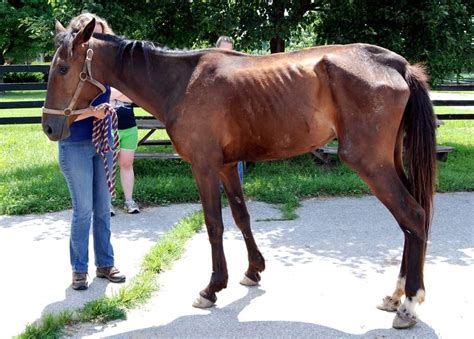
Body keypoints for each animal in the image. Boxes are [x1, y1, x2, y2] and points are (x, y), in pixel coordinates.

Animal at [42, 19, 436, 330]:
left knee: (413, 216)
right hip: (389, 162)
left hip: (369, 162)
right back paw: (395, 295)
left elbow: (214, 224)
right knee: (410, 222)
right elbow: (241, 215)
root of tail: (396, 64)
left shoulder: (203, 166)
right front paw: (253, 270)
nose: (48, 126)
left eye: (62, 69)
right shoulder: (228, 166)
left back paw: (408, 304)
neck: (182, 82)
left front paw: (212, 288)